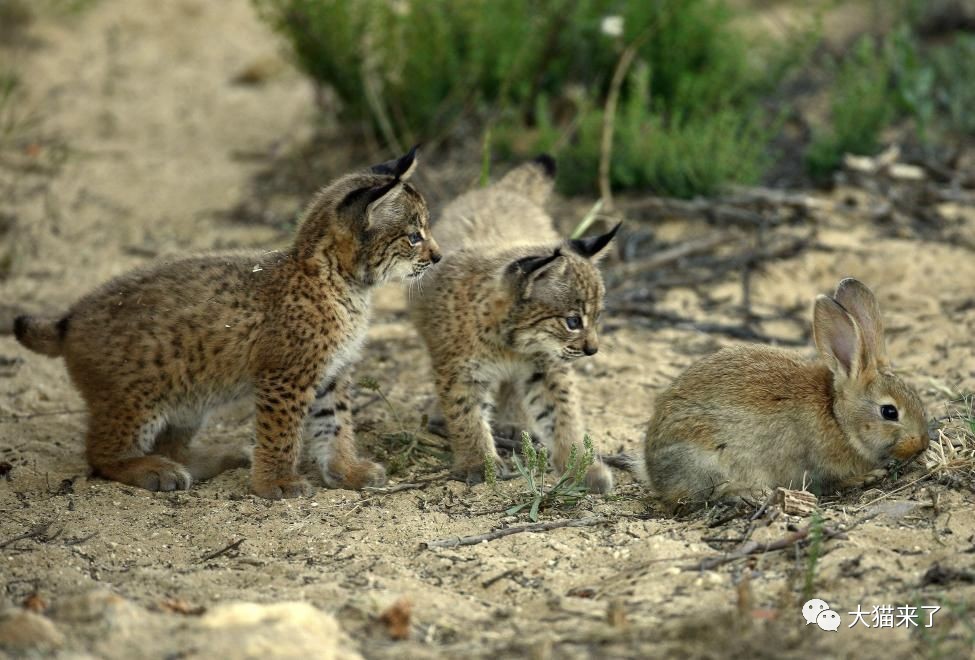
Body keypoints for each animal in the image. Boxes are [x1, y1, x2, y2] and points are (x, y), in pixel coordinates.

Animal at [14, 148, 442, 500]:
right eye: (413, 236)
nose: (438, 257)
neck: (342, 283)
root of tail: (71, 315)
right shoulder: (284, 375)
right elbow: (282, 432)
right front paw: (275, 482)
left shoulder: (332, 373)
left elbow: (335, 424)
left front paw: (345, 470)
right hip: (137, 398)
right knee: (98, 453)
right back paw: (152, 470)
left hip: (187, 397)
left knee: (169, 445)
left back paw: (206, 461)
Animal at [412, 157, 616, 492]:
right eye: (573, 322)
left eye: (597, 318)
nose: (592, 350)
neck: (509, 343)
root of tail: (501, 191)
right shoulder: (459, 371)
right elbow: (466, 416)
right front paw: (479, 463)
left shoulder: (548, 366)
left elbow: (563, 413)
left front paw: (580, 465)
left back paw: (513, 421)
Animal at [640, 278, 932, 506]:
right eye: (889, 412)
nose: (922, 444)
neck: (838, 418)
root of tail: (653, 471)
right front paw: (867, 476)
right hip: (706, 462)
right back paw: (746, 493)